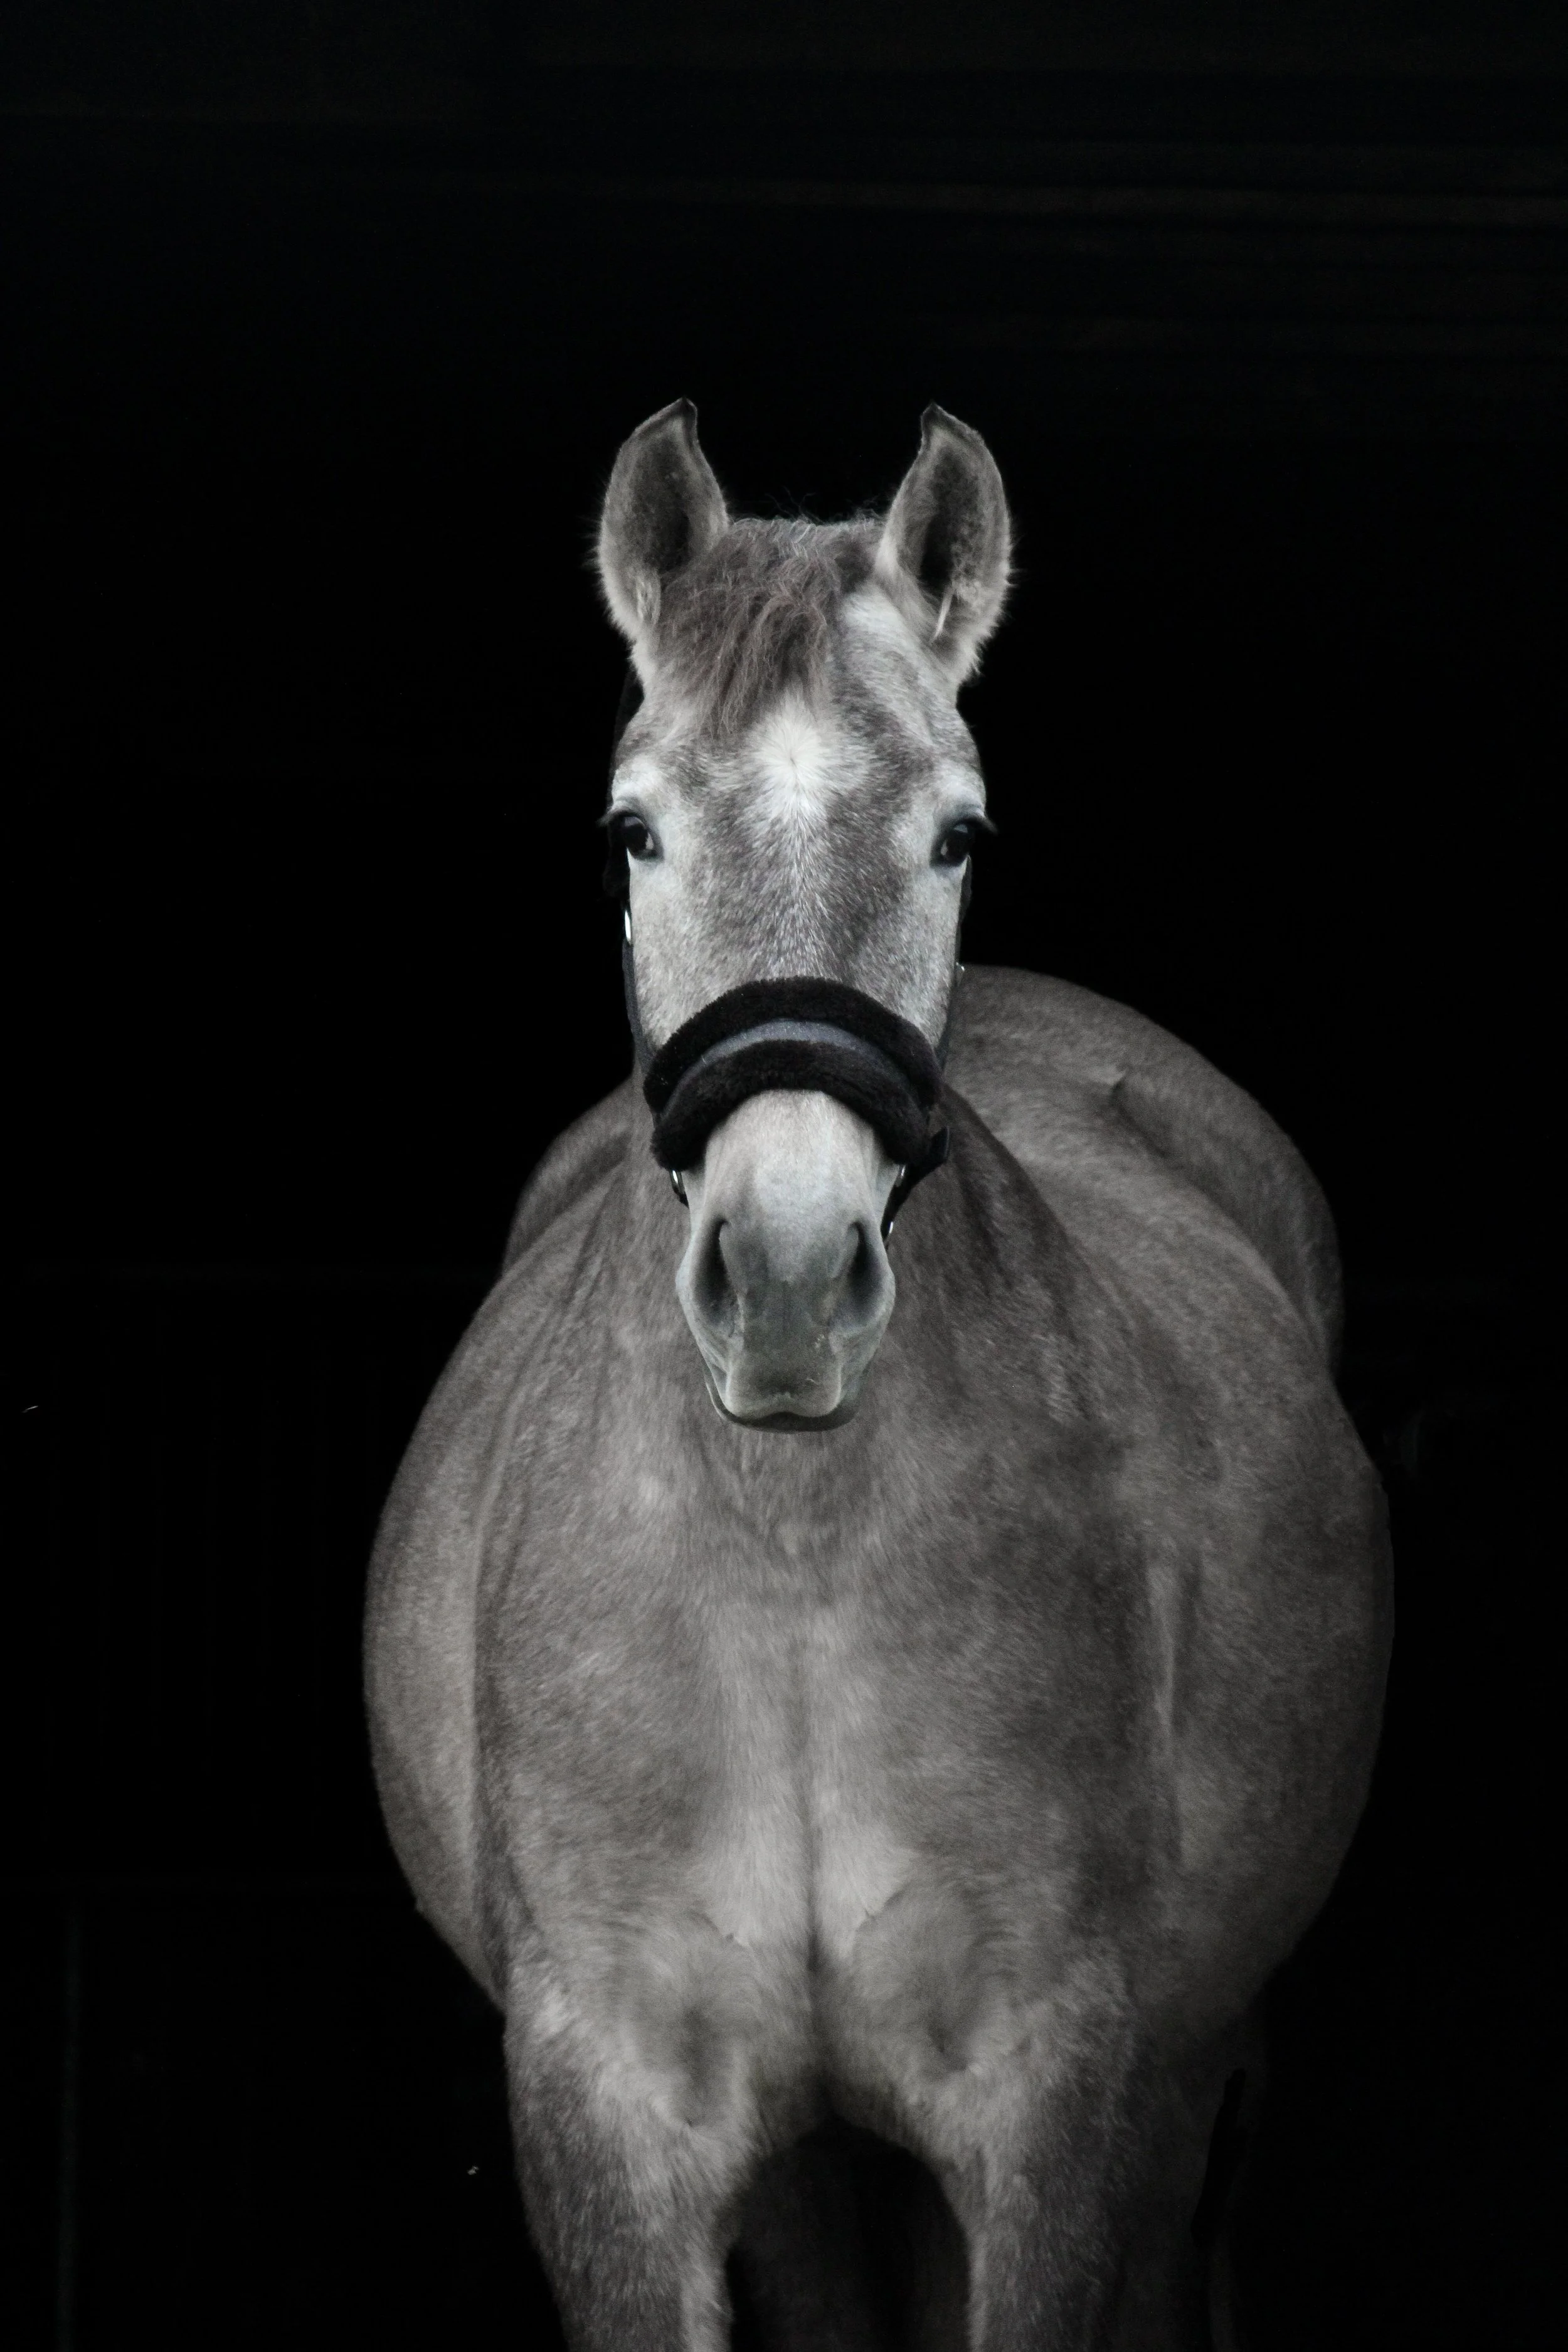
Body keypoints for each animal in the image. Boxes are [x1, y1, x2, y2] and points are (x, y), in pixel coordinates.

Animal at [365, 400, 1391, 2351]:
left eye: (954, 834)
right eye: (631, 830)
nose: (786, 1276)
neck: (791, 1571)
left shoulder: (1058, 2105)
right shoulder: (612, 2113)